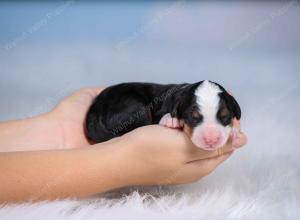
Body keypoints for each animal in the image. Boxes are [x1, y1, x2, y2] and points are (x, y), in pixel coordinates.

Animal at [85, 81, 241, 151]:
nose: (211, 140)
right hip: (135, 108)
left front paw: (235, 133)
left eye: (225, 116)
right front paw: (171, 120)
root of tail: (96, 106)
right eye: (193, 117)